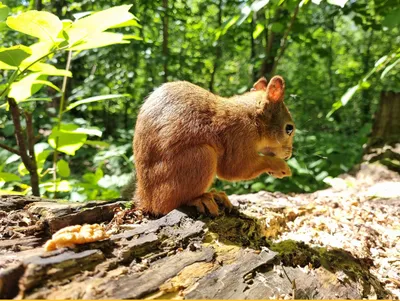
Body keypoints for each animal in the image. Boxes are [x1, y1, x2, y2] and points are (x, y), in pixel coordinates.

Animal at [130, 75, 296, 216]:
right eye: (289, 128)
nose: (288, 155)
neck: (253, 117)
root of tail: (146, 199)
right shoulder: (239, 136)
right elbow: (236, 168)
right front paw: (280, 167)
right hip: (201, 157)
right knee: (166, 204)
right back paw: (201, 198)